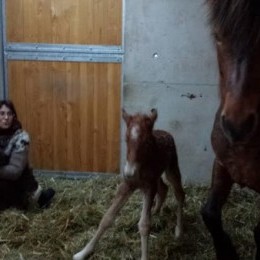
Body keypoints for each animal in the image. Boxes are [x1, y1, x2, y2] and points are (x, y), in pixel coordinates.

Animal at [73, 108, 185, 260]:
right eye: (126, 139)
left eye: (147, 142)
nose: (129, 172)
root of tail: (166, 132)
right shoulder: (126, 185)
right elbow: (107, 217)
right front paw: (83, 252)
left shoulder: (148, 187)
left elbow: (144, 225)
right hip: (157, 176)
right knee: (163, 188)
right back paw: (155, 211)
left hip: (171, 168)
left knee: (179, 193)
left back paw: (178, 230)